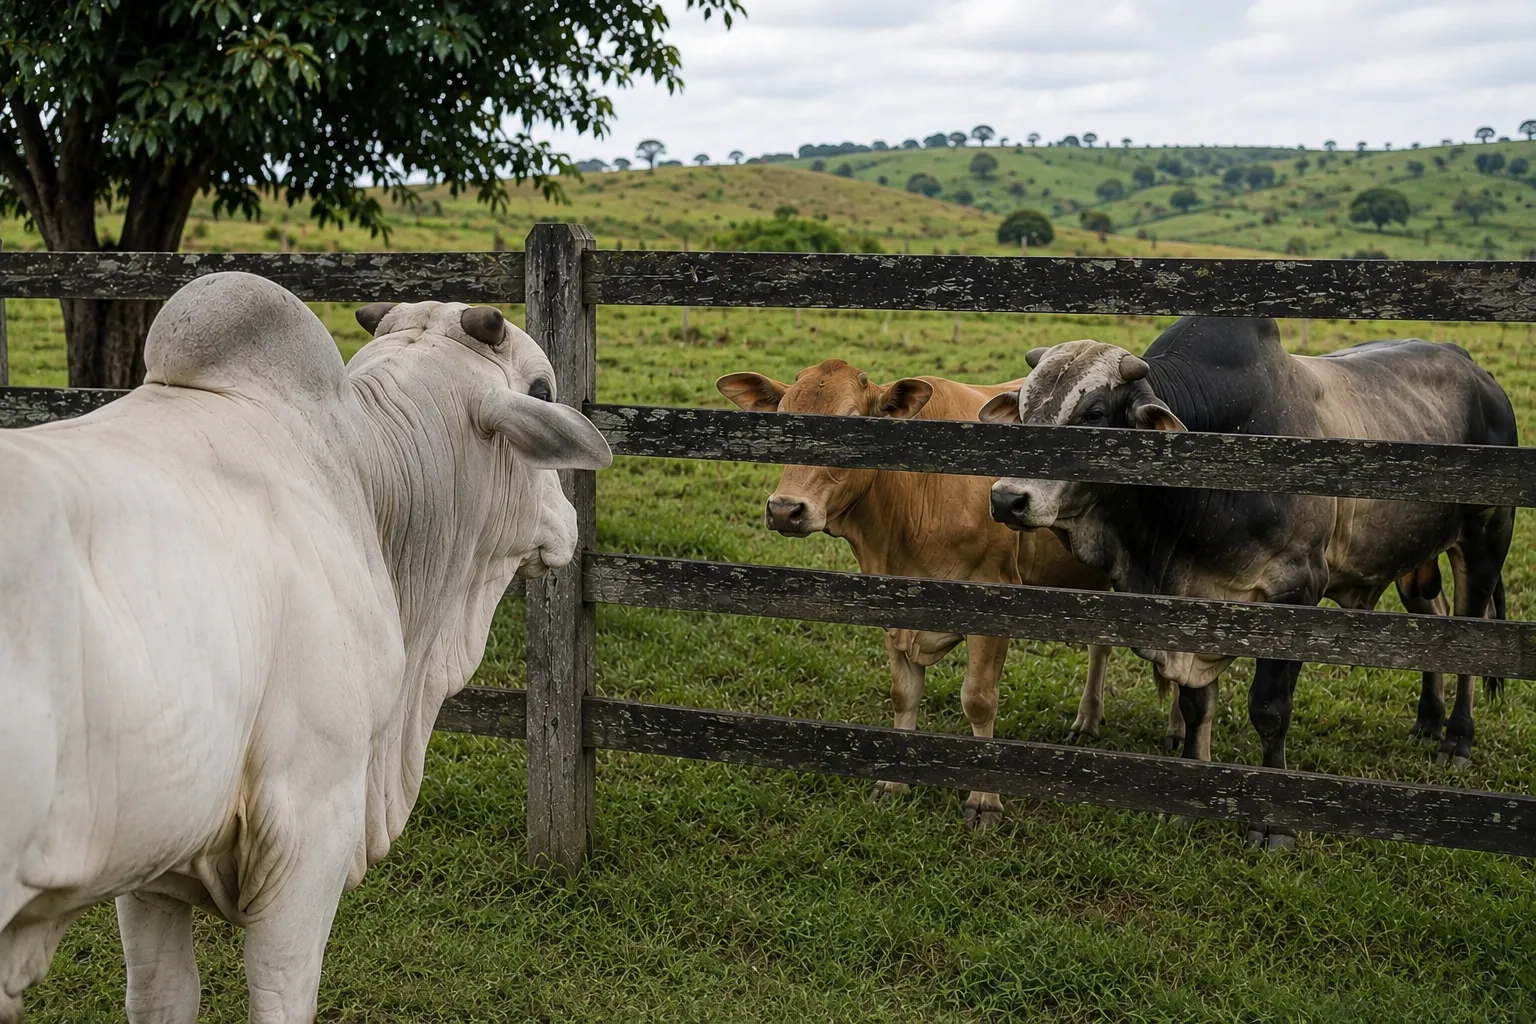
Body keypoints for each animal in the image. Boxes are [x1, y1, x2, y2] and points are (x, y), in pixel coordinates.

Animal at [0, 274, 611, 1022]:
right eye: (543, 388)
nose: (570, 521)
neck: (367, 478)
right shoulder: (310, 823)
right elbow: (282, 994)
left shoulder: (155, 863)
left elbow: (162, 994)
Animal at [717, 359, 1112, 828]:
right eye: (780, 421)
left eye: (852, 425)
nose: (784, 510)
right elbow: (903, 693)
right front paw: (893, 784)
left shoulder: (995, 599)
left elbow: (979, 700)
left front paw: (984, 801)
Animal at [982, 318, 1515, 849]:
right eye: (1025, 407)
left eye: (1093, 413)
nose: (1007, 499)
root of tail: (1474, 367)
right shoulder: (1190, 604)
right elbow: (1195, 707)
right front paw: (1189, 806)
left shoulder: (1296, 592)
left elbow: (1270, 709)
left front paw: (1273, 824)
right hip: (1411, 558)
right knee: (1434, 626)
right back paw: (1427, 722)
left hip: (1484, 539)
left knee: (1471, 637)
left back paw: (1457, 740)